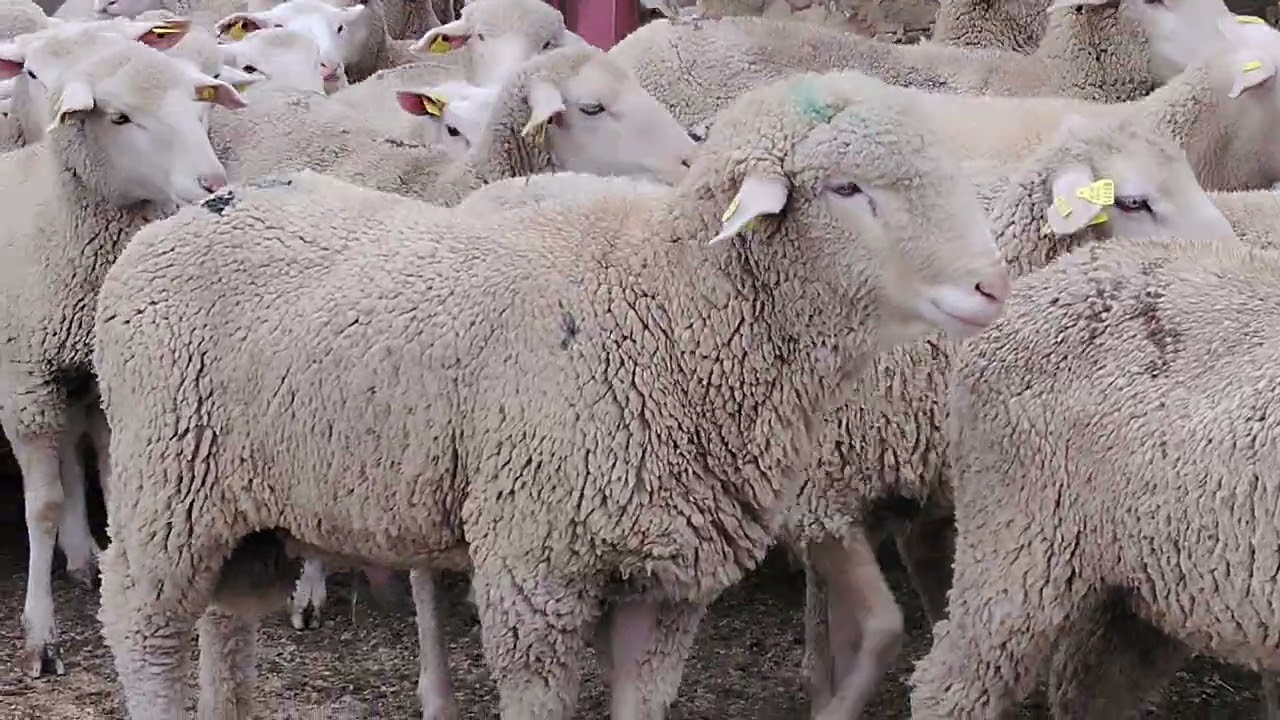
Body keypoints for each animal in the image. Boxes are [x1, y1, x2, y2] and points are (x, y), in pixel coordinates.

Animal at [0, 32, 243, 680]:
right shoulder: (24, 387)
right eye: (119, 117)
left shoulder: (108, 384)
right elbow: (41, 508)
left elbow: (112, 485)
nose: (213, 183)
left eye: (197, 103)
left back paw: (83, 555)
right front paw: (40, 636)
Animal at [91, 68, 1012, 720]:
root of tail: (192, 212)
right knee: (142, 627)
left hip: (247, 505)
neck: (660, 308)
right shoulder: (534, 569)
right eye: (848, 189)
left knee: (226, 622)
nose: (993, 287)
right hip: (163, 486)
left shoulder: (666, 583)